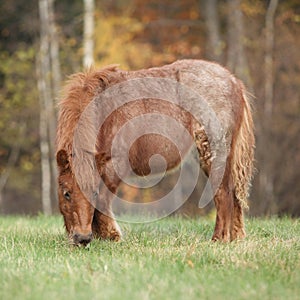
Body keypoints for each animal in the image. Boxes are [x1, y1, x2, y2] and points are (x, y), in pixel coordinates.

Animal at [55, 59, 253, 246]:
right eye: (66, 193)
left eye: (93, 193)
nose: (82, 238)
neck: (102, 109)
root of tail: (234, 81)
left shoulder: (114, 165)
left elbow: (102, 200)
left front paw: (111, 236)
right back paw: (235, 237)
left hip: (213, 153)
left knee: (223, 192)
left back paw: (219, 238)